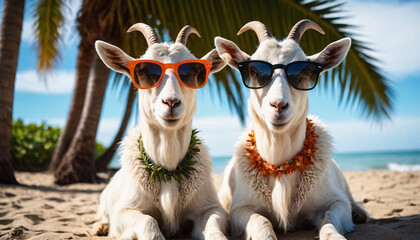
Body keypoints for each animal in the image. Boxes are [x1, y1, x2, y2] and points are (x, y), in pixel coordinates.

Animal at [92, 23, 228, 240]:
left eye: (194, 70)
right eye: (143, 70)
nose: (171, 102)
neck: (168, 170)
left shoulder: (210, 208)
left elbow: (214, 226)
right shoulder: (125, 211)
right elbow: (148, 221)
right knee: (103, 215)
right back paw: (101, 227)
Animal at [215, 20, 370, 240]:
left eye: (303, 71)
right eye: (255, 70)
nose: (278, 105)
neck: (280, 163)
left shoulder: (335, 202)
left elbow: (329, 220)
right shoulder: (240, 209)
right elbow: (261, 221)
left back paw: (359, 213)